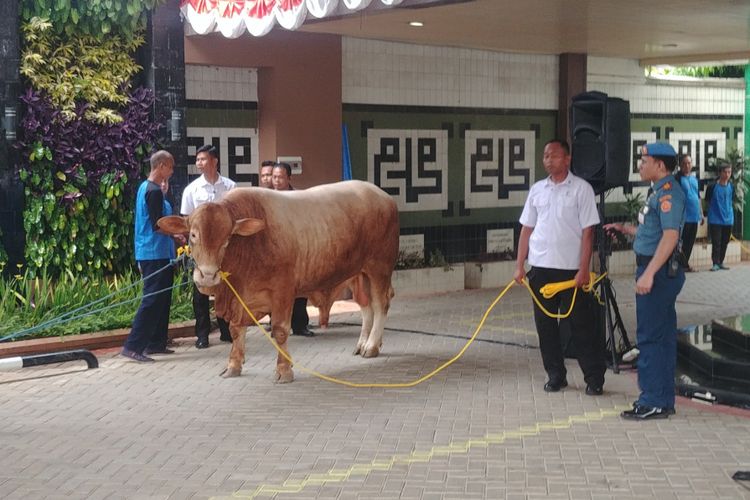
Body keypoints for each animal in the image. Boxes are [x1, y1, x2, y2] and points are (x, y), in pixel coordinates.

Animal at [160, 182, 400, 380]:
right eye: (193, 235)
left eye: (227, 239)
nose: (208, 275)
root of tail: (382, 195)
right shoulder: (241, 299)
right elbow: (237, 330)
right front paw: (234, 366)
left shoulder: (283, 291)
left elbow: (280, 330)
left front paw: (284, 370)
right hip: (359, 274)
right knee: (366, 306)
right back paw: (363, 343)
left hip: (379, 267)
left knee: (380, 304)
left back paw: (371, 346)